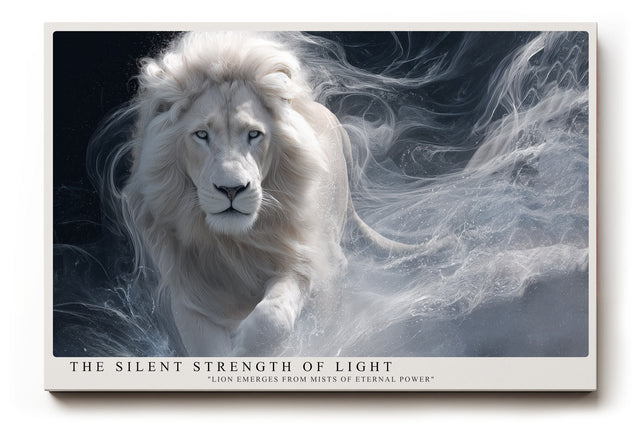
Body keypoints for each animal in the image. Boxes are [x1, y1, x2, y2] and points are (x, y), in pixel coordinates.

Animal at [122, 32, 408, 356]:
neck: (234, 245)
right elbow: (207, 348)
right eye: (202, 135)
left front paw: (246, 348)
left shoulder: (300, 258)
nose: (231, 189)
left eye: (254, 134)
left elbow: (272, 317)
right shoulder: (190, 296)